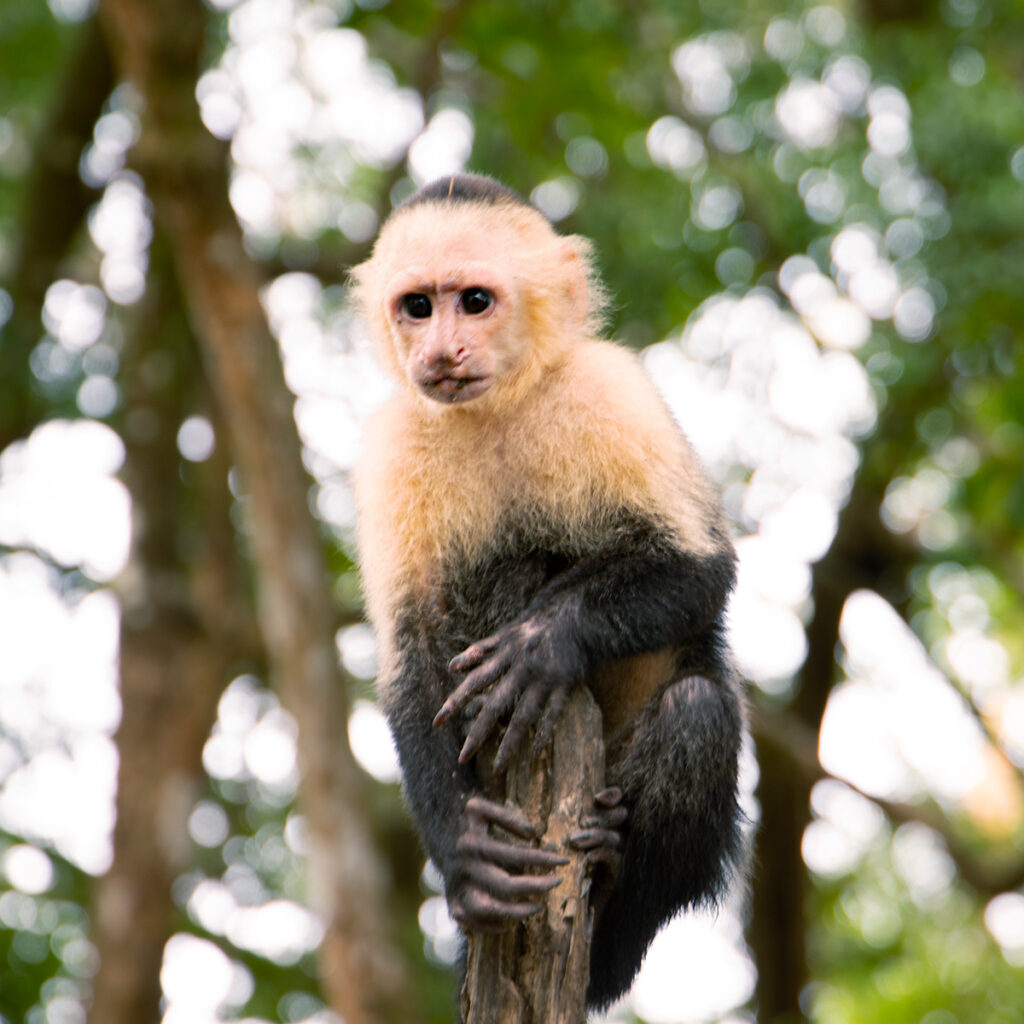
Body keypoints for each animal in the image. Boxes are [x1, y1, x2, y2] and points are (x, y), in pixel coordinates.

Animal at [350, 173, 745, 1010]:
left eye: (474, 301)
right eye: (417, 306)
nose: (440, 351)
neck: (496, 408)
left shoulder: (609, 387)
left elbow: (701, 568)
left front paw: (542, 645)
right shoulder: (393, 445)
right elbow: (407, 653)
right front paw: (465, 854)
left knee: (696, 708)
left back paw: (617, 888)